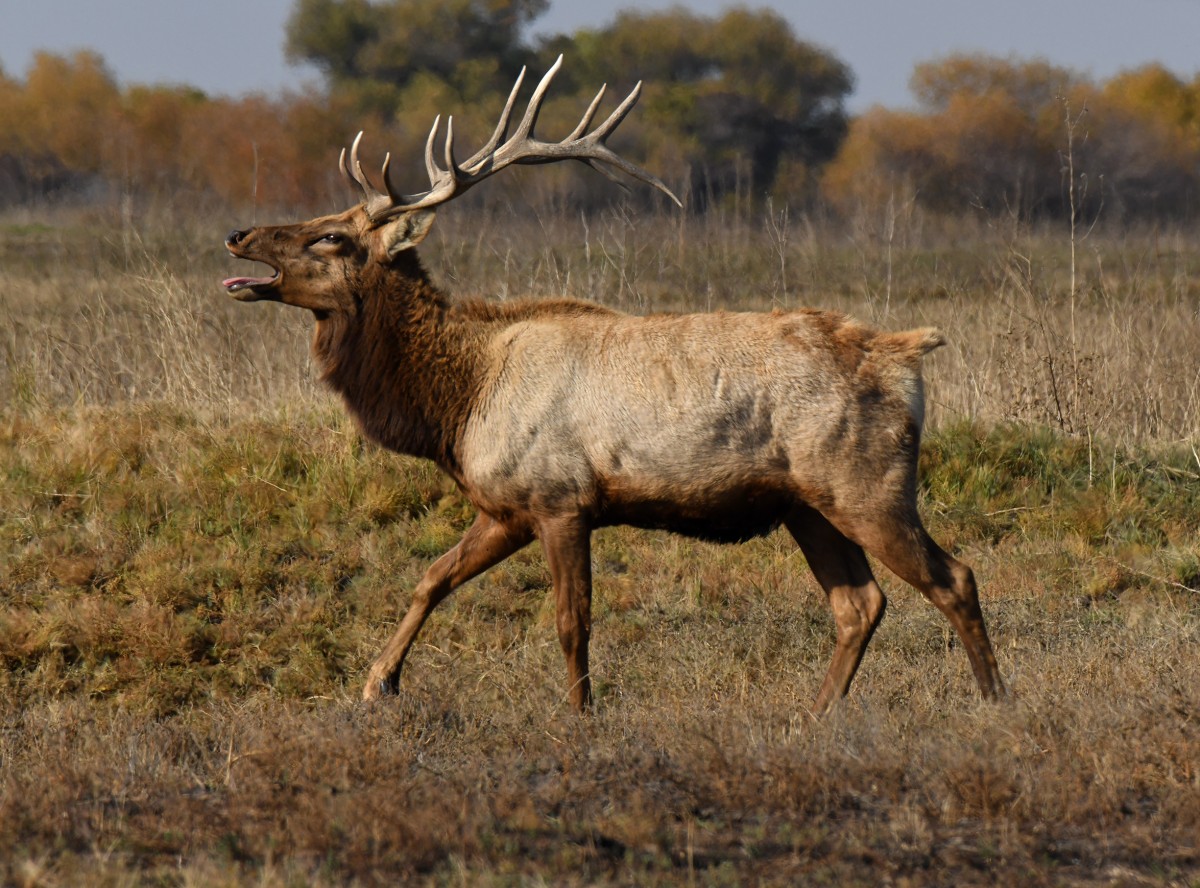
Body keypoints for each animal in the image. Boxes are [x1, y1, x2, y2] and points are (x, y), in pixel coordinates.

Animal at [223, 55, 1003, 710]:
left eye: (331, 237)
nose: (238, 234)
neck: (458, 405)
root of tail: (905, 354)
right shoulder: (506, 505)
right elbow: (431, 577)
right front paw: (377, 683)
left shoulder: (560, 497)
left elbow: (572, 621)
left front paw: (580, 714)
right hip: (807, 504)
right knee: (859, 604)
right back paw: (816, 716)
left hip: (867, 484)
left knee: (954, 578)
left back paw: (996, 704)